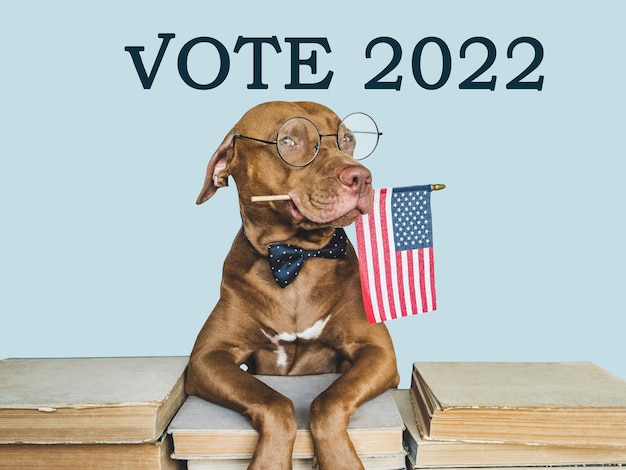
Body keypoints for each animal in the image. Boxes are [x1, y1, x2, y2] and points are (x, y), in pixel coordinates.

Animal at [186, 101, 400, 468]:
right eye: (288, 140)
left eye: (347, 138)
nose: (361, 177)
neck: (298, 256)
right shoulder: (207, 358)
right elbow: (274, 401)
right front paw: (269, 461)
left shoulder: (378, 351)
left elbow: (328, 400)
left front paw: (339, 460)